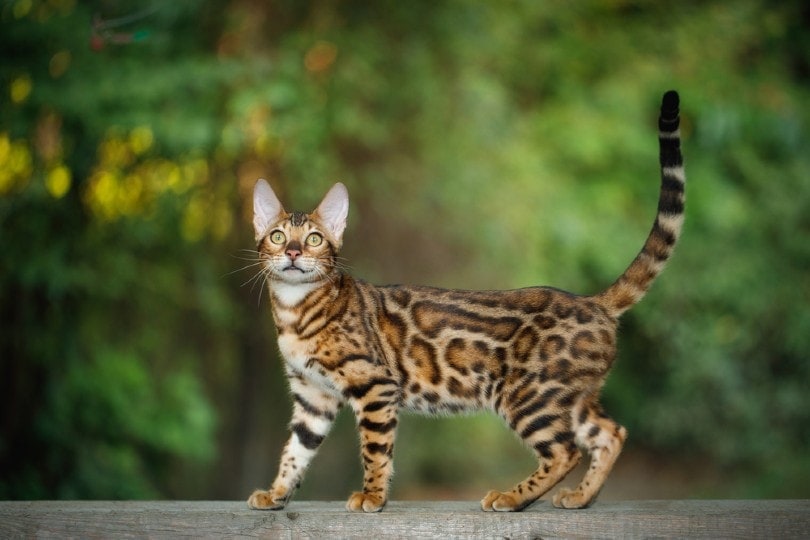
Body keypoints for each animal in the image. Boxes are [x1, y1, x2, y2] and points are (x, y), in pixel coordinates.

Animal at [245, 90, 680, 512]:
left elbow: (375, 450)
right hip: (570, 397)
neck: (295, 310)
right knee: (611, 433)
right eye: (278, 236)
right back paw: (581, 497)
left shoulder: (375, 385)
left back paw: (512, 497)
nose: (294, 252)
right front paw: (276, 493)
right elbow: (295, 451)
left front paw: (373, 496)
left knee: (565, 451)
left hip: (528, 397)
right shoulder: (312, 397)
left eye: (315, 238)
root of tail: (594, 303)